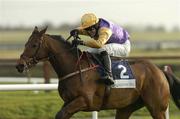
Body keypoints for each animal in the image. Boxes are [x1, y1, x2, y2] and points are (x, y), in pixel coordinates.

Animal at [16, 26, 179, 118]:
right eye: (25, 43)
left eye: (34, 45)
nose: (19, 65)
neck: (74, 67)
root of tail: (160, 71)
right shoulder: (69, 102)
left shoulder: (84, 101)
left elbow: (60, 115)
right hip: (126, 107)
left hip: (157, 108)